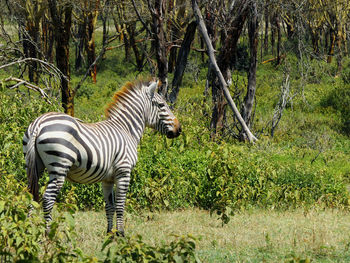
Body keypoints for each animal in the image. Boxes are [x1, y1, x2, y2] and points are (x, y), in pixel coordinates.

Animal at [22, 79, 180, 237]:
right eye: (162, 105)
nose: (179, 129)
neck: (126, 129)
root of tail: (39, 123)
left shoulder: (107, 179)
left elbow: (110, 206)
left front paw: (110, 233)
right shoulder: (124, 171)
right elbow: (120, 205)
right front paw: (121, 233)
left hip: (34, 166)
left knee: (31, 194)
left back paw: (28, 230)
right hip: (59, 167)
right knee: (48, 198)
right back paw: (49, 233)